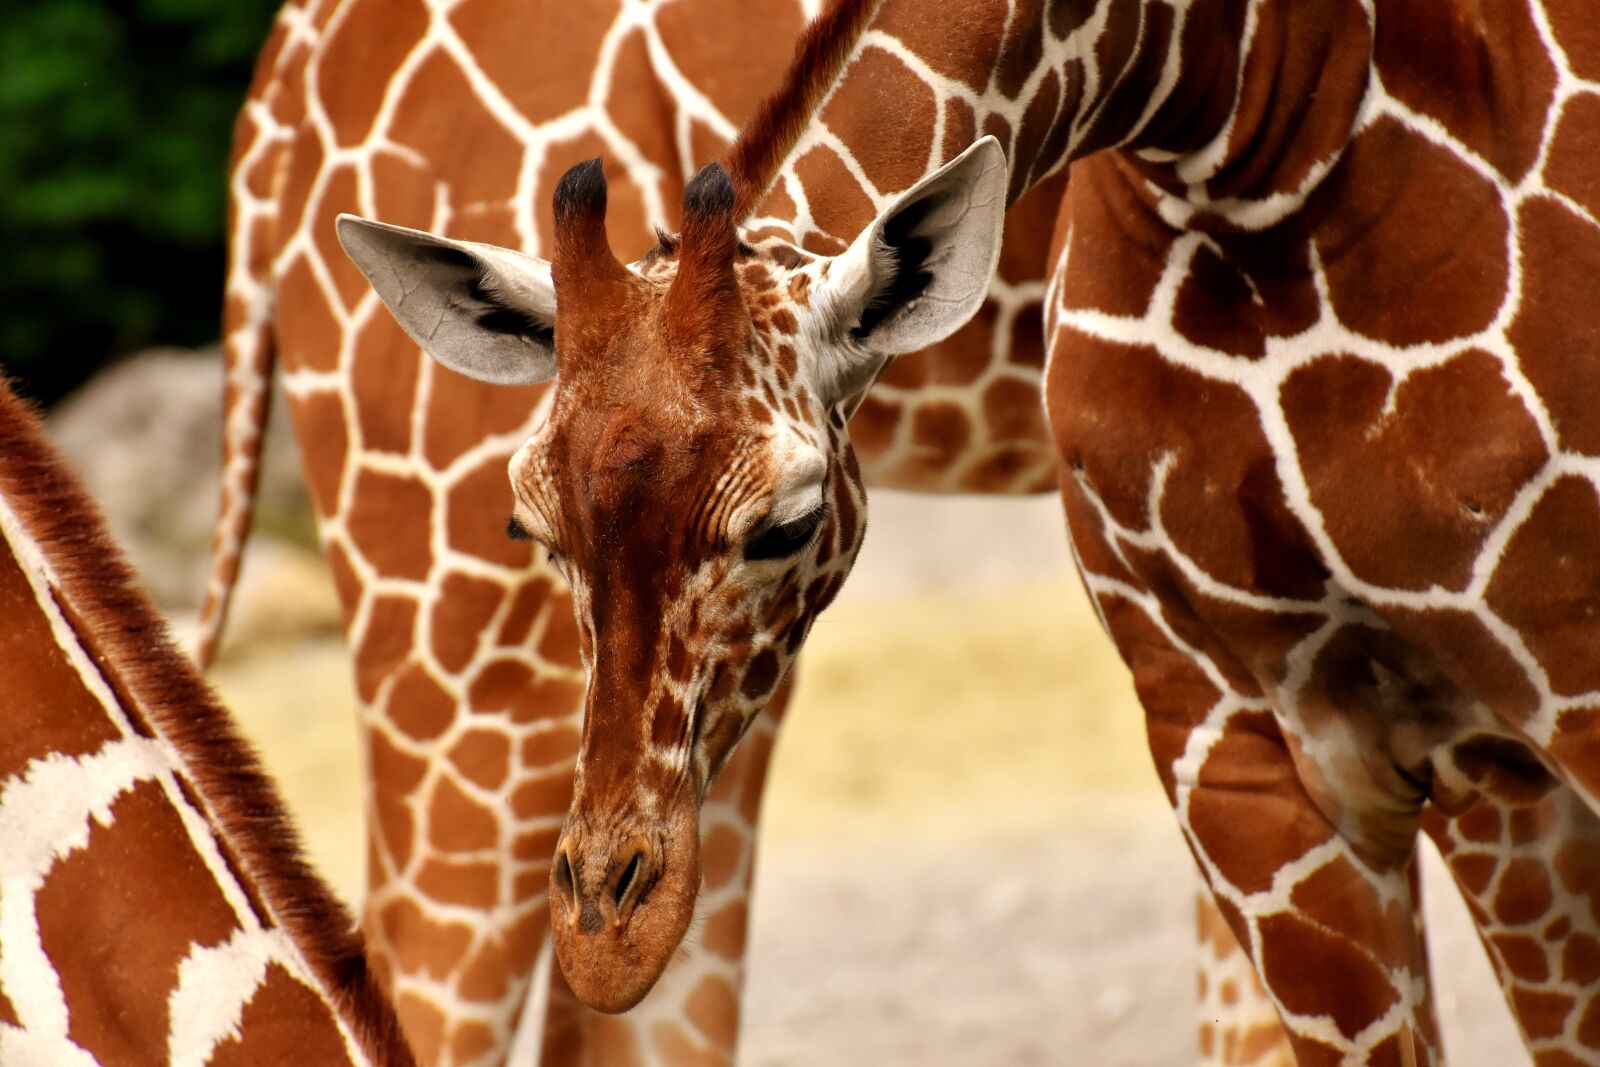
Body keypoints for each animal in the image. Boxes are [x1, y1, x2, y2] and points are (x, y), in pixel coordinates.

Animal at [341, 0, 1600, 1062]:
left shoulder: (1528, 723)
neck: (1244, 115)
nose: (609, 928)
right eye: (531, 524)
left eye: (787, 522)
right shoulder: (1234, 742)